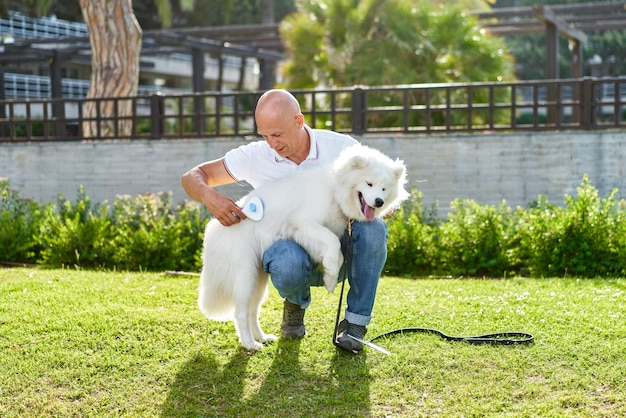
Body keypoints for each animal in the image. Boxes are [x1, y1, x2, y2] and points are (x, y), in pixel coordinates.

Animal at [197, 144, 408, 350]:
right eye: (369, 184)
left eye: (384, 189)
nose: (379, 202)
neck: (335, 190)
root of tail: (214, 230)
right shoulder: (303, 223)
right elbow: (333, 242)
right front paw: (331, 276)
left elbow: (337, 252)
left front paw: (328, 276)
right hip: (245, 276)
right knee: (240, 312)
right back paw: (250, 344)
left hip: (258, 280)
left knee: (252, 310)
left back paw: (261, 337)